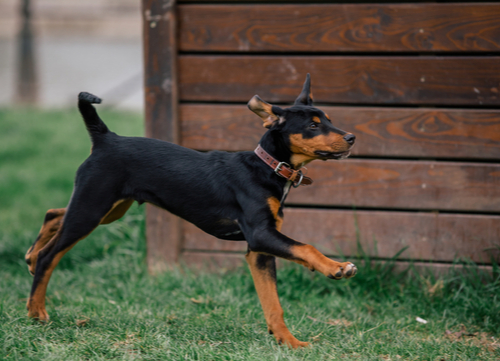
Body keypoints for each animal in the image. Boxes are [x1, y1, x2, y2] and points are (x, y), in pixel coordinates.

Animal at [25, 74, 356, 348]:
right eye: (313, 125)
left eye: (328, 119)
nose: (352, 138)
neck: (267, 167)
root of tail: (106, 137)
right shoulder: (262, 236)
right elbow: (306, 247)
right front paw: (337, 268)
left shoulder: (259, 251)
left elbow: (273, 303)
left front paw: (289, 342)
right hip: (92, 209)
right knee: (50, 256)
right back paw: (36, 310)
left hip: (108, 208)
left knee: (54, 213)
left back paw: (30, 256)